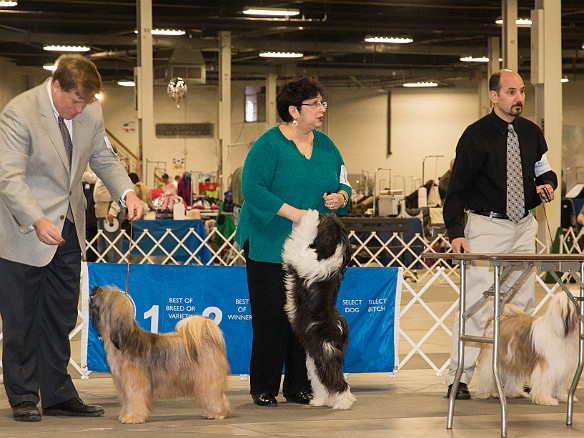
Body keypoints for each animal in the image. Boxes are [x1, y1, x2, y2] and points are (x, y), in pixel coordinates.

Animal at [282, 210, 356, 408]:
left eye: (325, 223)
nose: (326, 212)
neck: (327, 254)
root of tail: (338, 328)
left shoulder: (301, 258)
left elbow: (299, 241)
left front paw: (309, 216)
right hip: (314, 359)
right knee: (321, 381)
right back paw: (320, 401)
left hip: (324, 354)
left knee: (336, 379)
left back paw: (343, 402)